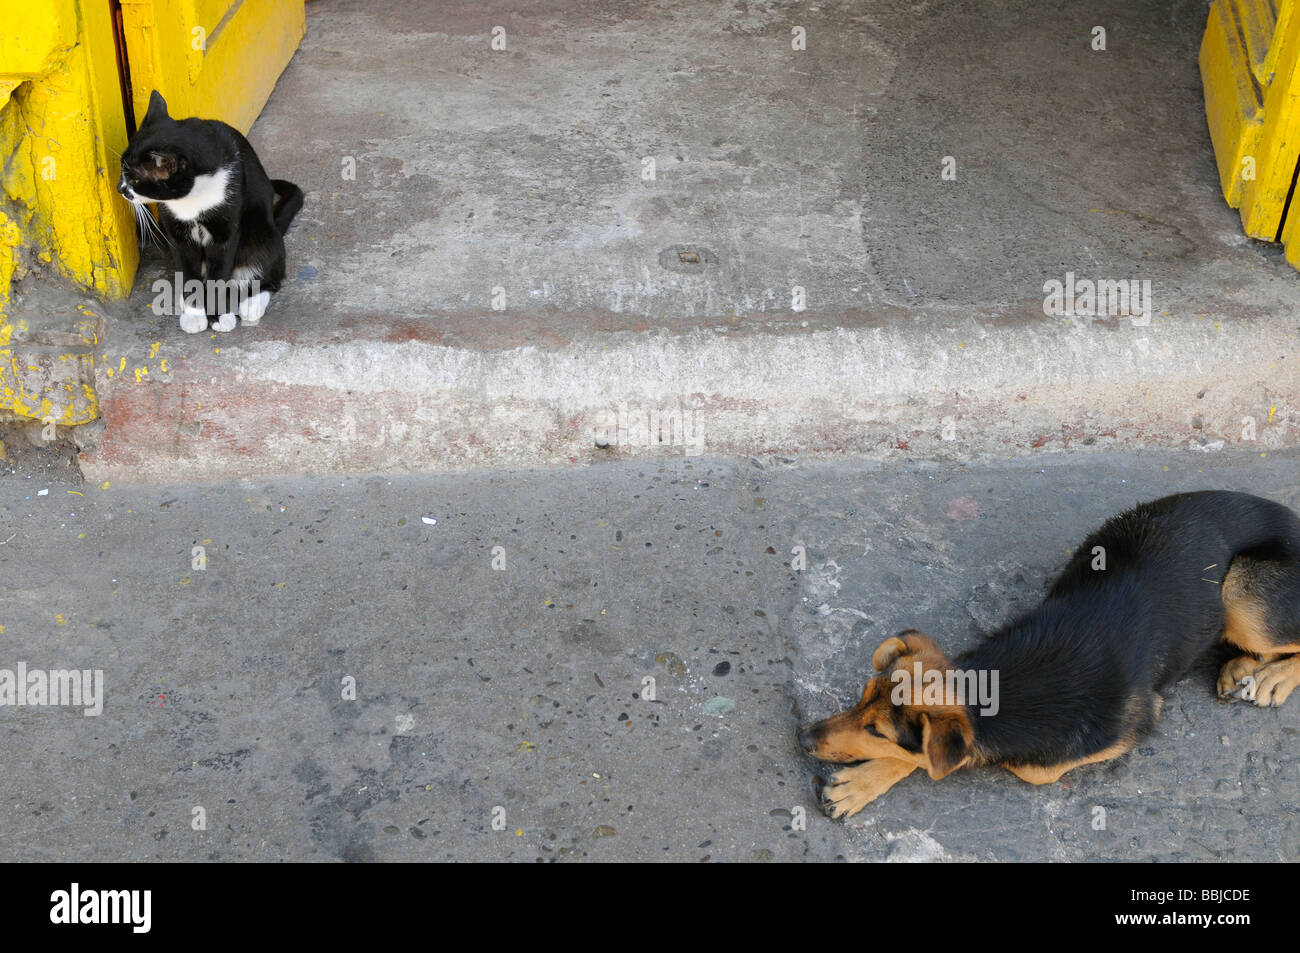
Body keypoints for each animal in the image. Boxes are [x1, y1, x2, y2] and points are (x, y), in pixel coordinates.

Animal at [116, 90, 304, 335]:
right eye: (122, 170)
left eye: (136, 180)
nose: (120, 188)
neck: (192, 201)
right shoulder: (177, 234)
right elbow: (188, 273)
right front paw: (194, 314)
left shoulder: (226, 231)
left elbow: (220, 274)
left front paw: (219, 316)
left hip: (261, 233)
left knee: (269, 273)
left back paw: (252, 305)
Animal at [795, 491, 1300, 816]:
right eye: (862, 697)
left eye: (876, 731)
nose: (803, 738)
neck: (997, 683)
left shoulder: (1131, 725)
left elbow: (957, 762)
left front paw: (861, 782)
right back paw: (1243, 667)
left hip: (1240, 595)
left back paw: (1271, 677)